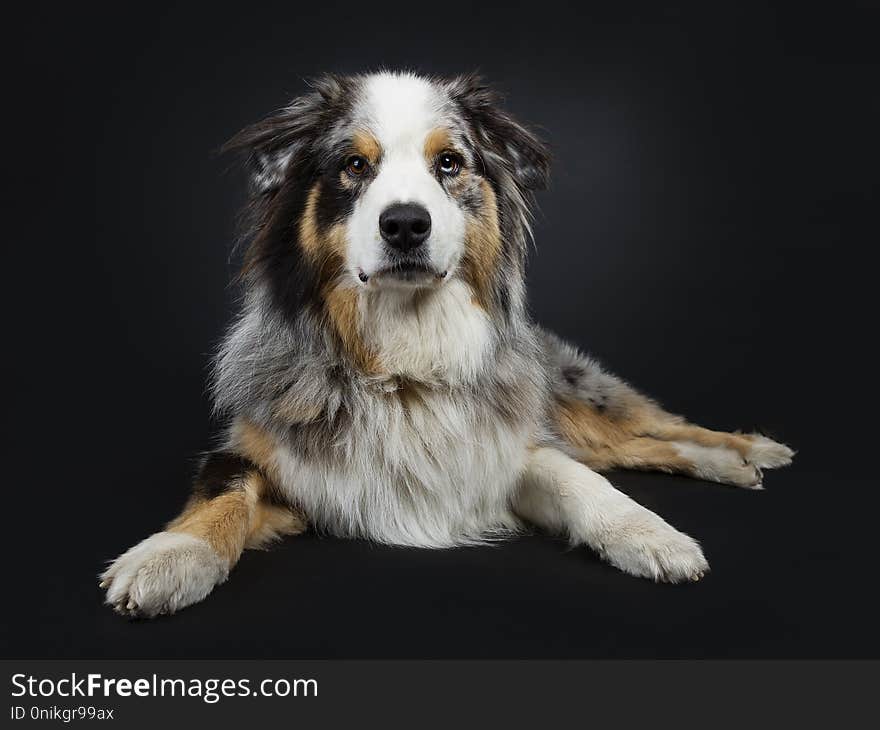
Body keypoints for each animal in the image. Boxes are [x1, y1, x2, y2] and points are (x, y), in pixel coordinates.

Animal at [99, 71, 796, 616]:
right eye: (355, 165)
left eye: (450, 164)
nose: (406, 223)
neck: (403, 360)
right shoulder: (261, 452)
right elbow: (222, 493)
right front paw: (168, 557)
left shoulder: (507, 445)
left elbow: (582, 483)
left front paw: (653, 535)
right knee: (637, 448)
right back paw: (735, 465)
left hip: (575, 398)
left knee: (652, 430)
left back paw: (748, 450)